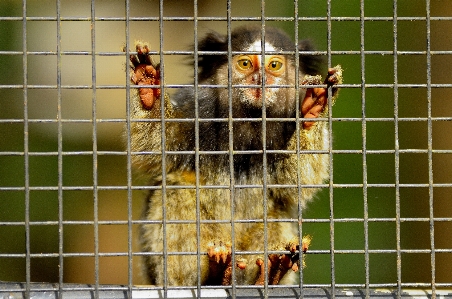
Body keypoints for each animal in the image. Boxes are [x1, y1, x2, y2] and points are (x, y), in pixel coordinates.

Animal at [125, 27, 340, 288]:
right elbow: (155, 149)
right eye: (245, 63)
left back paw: (270, 274)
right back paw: (211, 273)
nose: (260, 79)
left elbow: (296, 184)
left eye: (274, 65)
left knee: (276, 214)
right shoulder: (194, 110)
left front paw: (312, 111)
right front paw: (148, 89)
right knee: (176, 190)